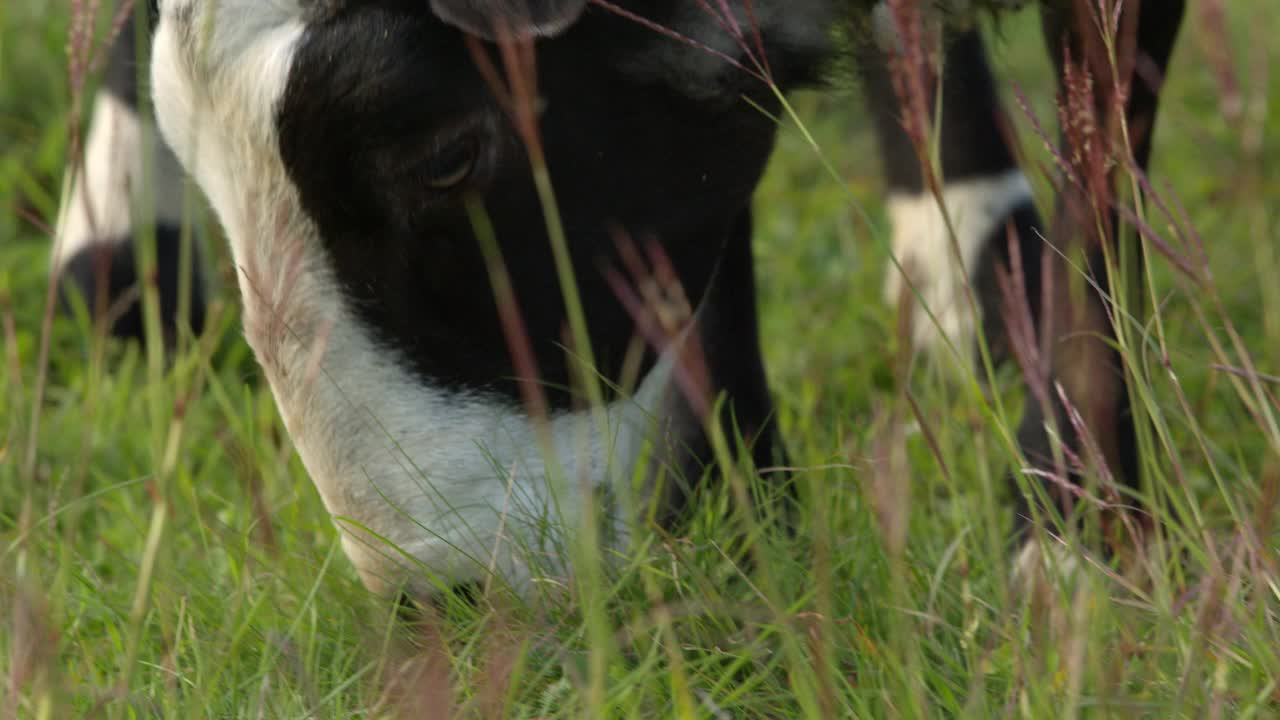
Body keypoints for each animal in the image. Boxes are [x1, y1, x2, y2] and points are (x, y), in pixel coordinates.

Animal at [57, 0, 1177, 594]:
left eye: (445, 158)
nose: (444, 600)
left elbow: (1103, 135)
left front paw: (1075, 539)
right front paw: (737, 535)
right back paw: (113, 262)